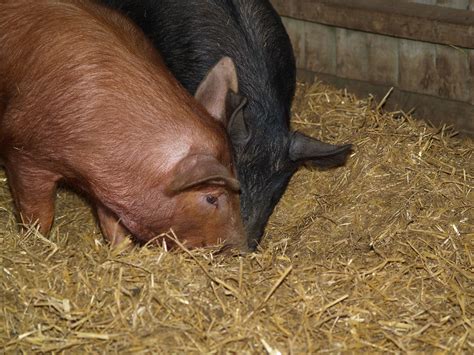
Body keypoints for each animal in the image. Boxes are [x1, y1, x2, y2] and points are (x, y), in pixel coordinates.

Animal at [0, 0, 248, 252]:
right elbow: (39, 213)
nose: (242, 248)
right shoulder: (24, 154)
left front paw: (122, 250)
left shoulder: (105, 182)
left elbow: (111, 221)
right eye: (211, 197)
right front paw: (34, 242)